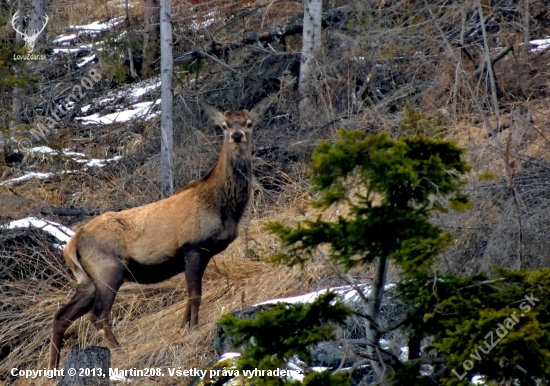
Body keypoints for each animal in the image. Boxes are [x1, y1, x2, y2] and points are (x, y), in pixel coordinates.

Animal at [50, 99, 270, 368]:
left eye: (248, 123)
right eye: (224, 125)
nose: (237, 135)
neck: (224, 207)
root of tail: (72, 243)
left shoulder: (202, 252)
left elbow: (190, 296)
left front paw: (183, 327)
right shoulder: (192, 246)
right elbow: (195, 295)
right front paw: (193, 329)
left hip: (88, 280)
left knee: (62, 316)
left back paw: (52, 366)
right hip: (108, 269)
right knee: (98, 315)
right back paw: (120, 351)